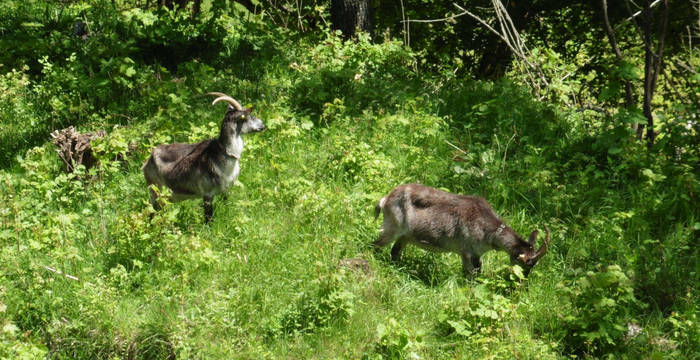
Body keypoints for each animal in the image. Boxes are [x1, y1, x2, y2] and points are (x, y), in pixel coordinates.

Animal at [142, 92, 266, 222]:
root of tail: (147, 162)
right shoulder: (207, 194)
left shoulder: (225, 190)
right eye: (248, 117)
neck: (222, 154)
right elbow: (208, 218)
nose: (263, 125)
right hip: (155, 190)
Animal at [374, 184, 548, 278]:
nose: (522, 281)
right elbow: (469, 274)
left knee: (395, 251)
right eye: (526, 263)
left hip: (405, 236)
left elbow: (478, 271)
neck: (488, 230)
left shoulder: (477, 254)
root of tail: (385, 199)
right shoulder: (466, 251)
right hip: (392, 227)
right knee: (376, 244)